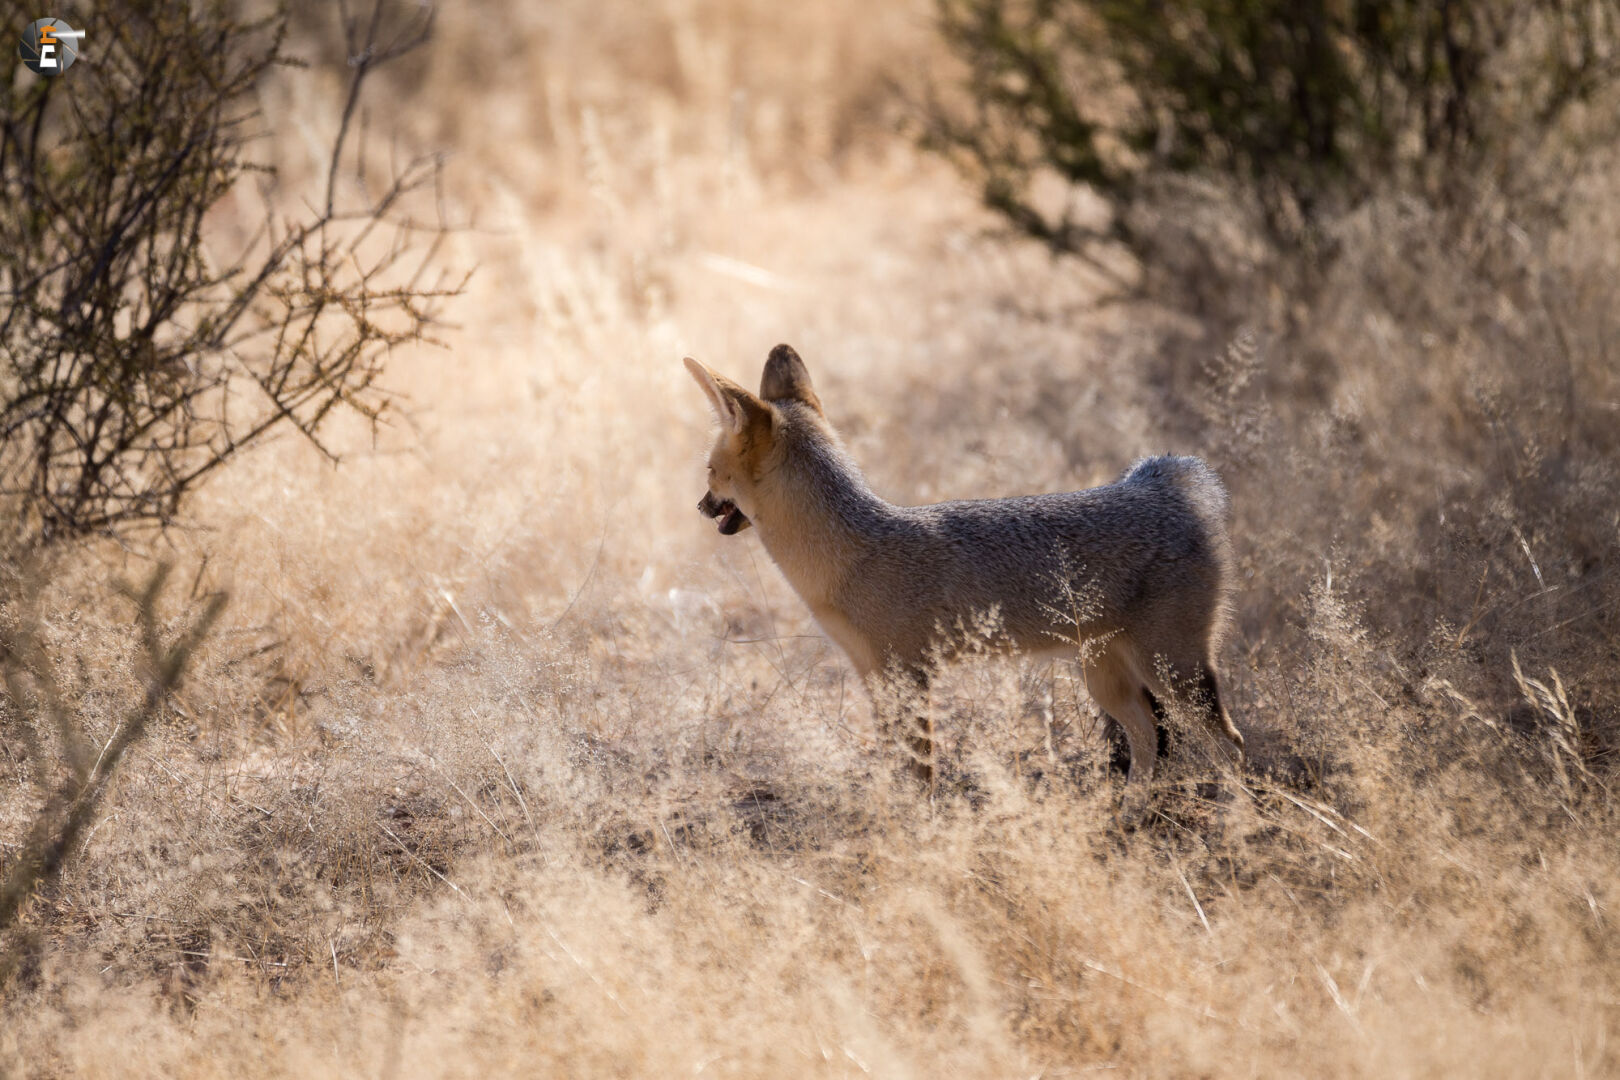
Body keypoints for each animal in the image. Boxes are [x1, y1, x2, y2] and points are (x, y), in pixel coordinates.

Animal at [684, 344, 1244, 796]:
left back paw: (1236, 824)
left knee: (1229, 744)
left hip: (1171, 672)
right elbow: (896, 766)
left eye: (710, 472)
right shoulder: (876, 678)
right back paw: (1130, 816)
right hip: (1108, 678)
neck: (850, 554)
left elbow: (919, 774)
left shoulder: (910, 677)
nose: (699, 507)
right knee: (1148, 742)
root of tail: (1164, 487)